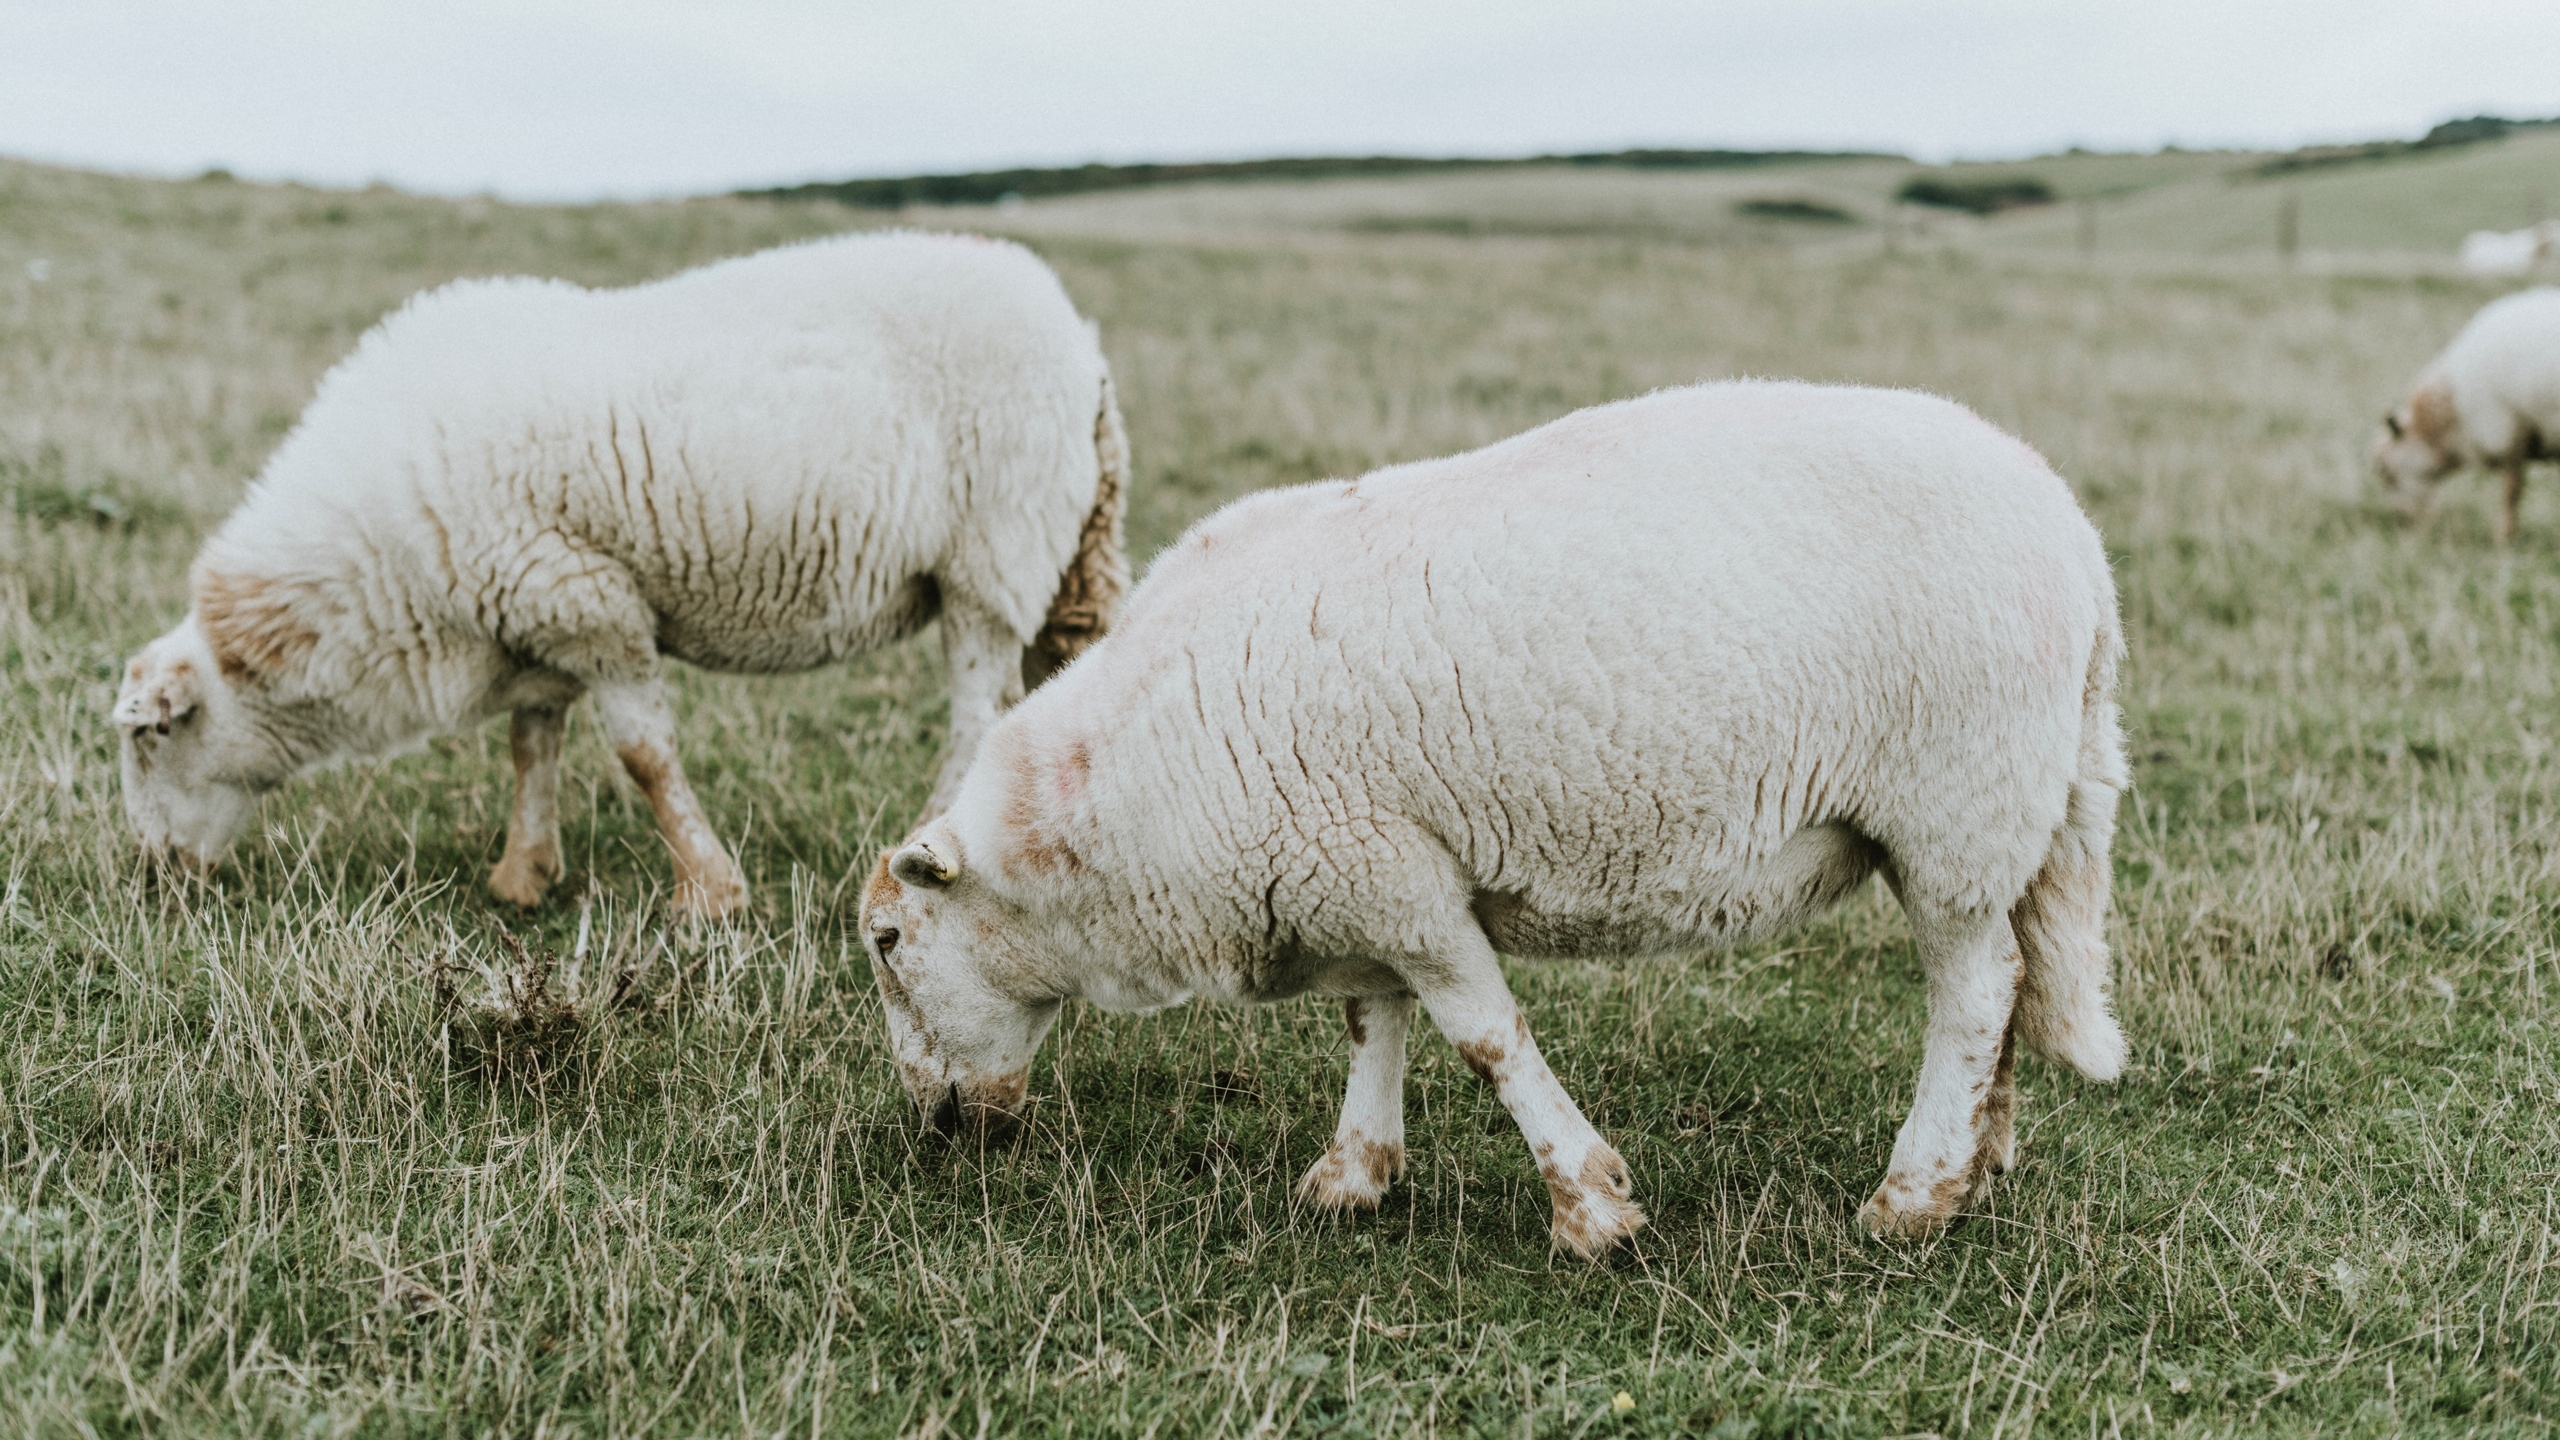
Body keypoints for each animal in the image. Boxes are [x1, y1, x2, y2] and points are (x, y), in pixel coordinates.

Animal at [110, 229, 1131, 912]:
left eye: (151, 739)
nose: (154, 876)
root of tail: (1080, 339)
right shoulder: (536, 614)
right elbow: (531, 745)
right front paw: (522, 876)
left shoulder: (590, 602)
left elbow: (643, 757)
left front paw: (709, 895)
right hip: (1058, 552)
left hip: (993, 555)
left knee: (978, 713)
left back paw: (923, 836)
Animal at [870, 379, 2129, 1245]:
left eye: (886, 941)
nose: (933, 1126)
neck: (1107, 814)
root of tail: (2075, 536)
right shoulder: (1358, 862)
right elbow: (1373, 1020)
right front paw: (1354, 1178)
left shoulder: (1393, 880)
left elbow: (1483, 1037)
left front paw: (1592, 1208)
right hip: (1993, 819)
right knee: (2011, 983)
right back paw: (1975, 1164)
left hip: (1956, 805)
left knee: (1974, 992)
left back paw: (1908, 1198)